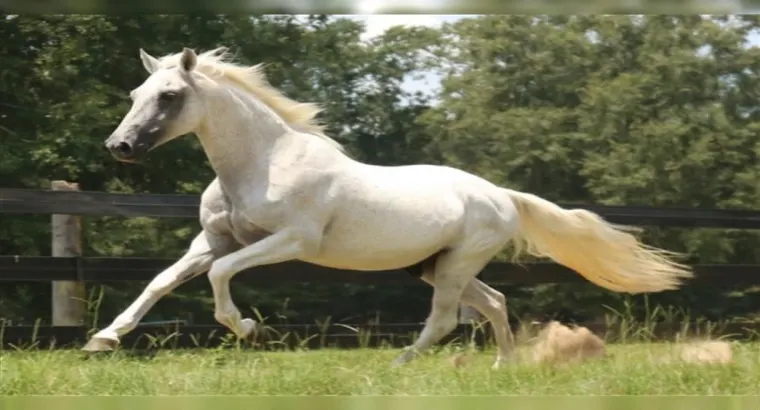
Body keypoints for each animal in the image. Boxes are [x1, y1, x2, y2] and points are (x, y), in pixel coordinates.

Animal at [83, 46, 693, 368]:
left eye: (169, 96)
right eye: (136, 95)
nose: (120, 146)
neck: (262, 163)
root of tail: (502, 195)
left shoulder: (290, 242)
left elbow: (221, 279)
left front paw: (250, 329)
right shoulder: (212, 241)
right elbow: (162, 282)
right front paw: (103, 339)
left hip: (454, 266)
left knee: (446, 319)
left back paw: (398, 364)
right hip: (436, 266)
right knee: (493, 303)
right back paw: (502, 366)